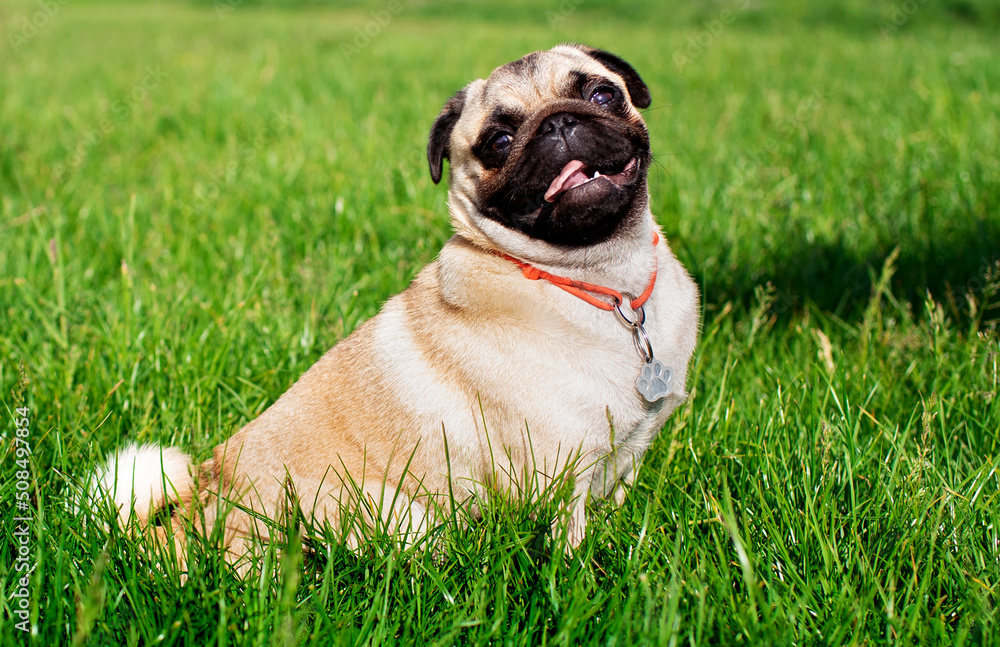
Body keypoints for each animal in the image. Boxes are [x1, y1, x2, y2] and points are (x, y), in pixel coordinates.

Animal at [97, 44, 700, 560]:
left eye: (602, 95)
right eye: (499, 142)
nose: (558, 123)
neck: (604, 283)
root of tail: (180, 529)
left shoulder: (622, 463)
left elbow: (613, 511)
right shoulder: (558, 478)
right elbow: (570, 552)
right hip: (399, 511)